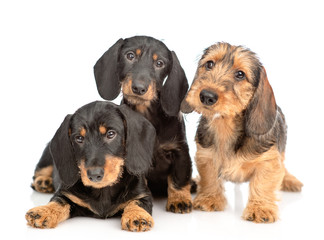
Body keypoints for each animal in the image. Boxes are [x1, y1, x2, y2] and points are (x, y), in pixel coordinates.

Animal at [26, 100, 156, 232]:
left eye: (111, 134)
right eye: (79, 138)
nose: (94, 175)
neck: (103, 190)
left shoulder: (143, 194)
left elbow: (137, 203)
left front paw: (137, 215)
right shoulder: (65, 194)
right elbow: (58, 202)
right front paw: (43, 211)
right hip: (46, 159)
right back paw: (43, 181)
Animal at [93, 34, 194, 213]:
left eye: (159, 63)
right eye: (130, 55)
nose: (139, 88)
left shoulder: (180, 150)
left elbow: (179, 179)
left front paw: (179, 200)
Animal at [181, 41, 302, 223]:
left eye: (240, 74)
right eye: (209, 64)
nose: (207, 95)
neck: (225, 126)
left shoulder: (268, 161)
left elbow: (263, 183)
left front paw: (260, 208)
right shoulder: (206, 156)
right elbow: (209, 178)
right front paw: (209, 198)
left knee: (283, 166)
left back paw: (290, 180)